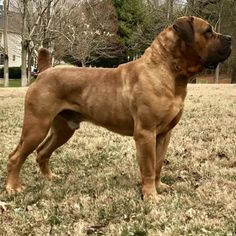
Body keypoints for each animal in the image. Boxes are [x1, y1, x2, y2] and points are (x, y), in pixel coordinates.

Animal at [6, 16, 231, 200]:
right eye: (208, 32)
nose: (229, 38)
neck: (169, 70)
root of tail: (44, 72)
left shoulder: (164, 134)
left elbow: (158, 164)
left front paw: (159, 187)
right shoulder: (145, 133)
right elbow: (149, 166)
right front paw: (150, 195)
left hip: (63, 129)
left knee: (43, 152)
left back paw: (50, 177)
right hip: (36, 126)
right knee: (16, 157)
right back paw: (13, 187)